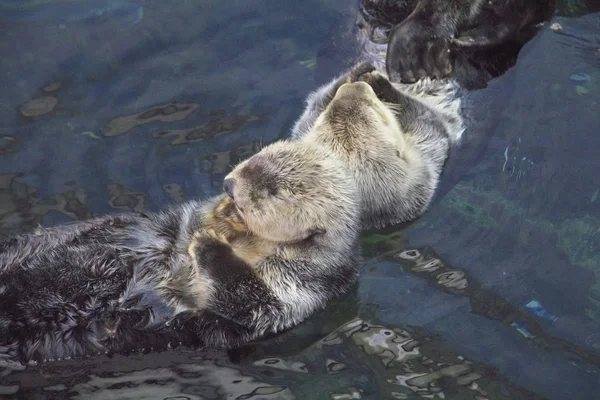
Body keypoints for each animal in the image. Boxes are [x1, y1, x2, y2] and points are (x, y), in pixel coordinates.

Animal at [0, 141, 360, 368]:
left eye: (272, 192)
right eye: (254, 157)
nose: (229, 185)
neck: (253, 245)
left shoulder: (301, 290)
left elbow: (251, 304)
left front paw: (209, 245)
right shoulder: (181, 226)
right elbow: (186, 223)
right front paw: (216, 216)